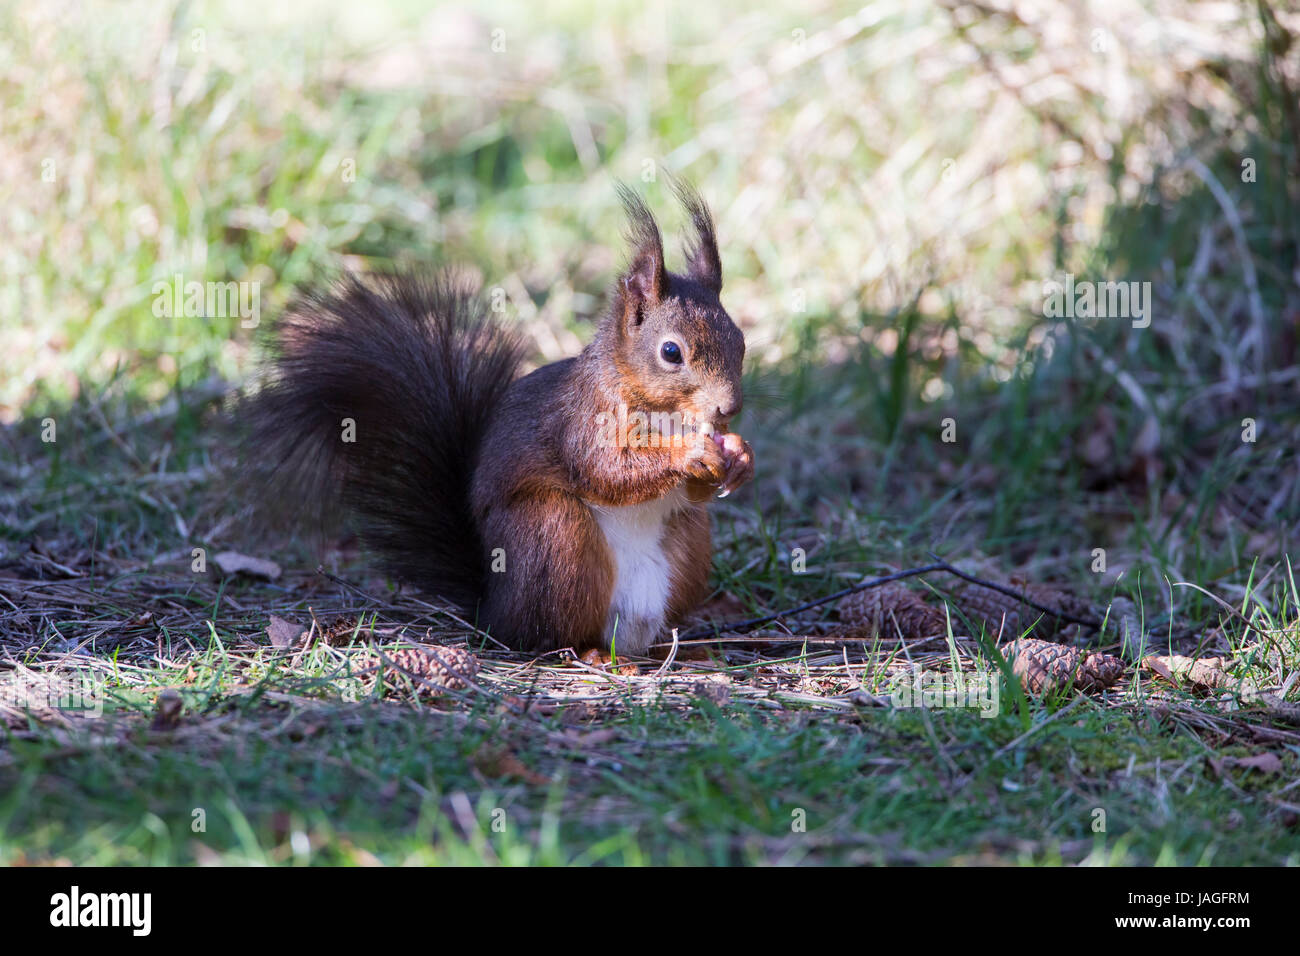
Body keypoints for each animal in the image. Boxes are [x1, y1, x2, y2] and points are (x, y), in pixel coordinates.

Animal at [248, 182, 754, 655]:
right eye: (670, 352)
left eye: (741, 340)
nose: (729, 408)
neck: (663, 411)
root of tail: (491, 608)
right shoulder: (581, 420)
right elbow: (607, 470)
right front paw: (688, 452)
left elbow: (691, 488)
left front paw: (739, 455)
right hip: (554, 535)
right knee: (547, 634)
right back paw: (589, 653)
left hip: (688, 542)